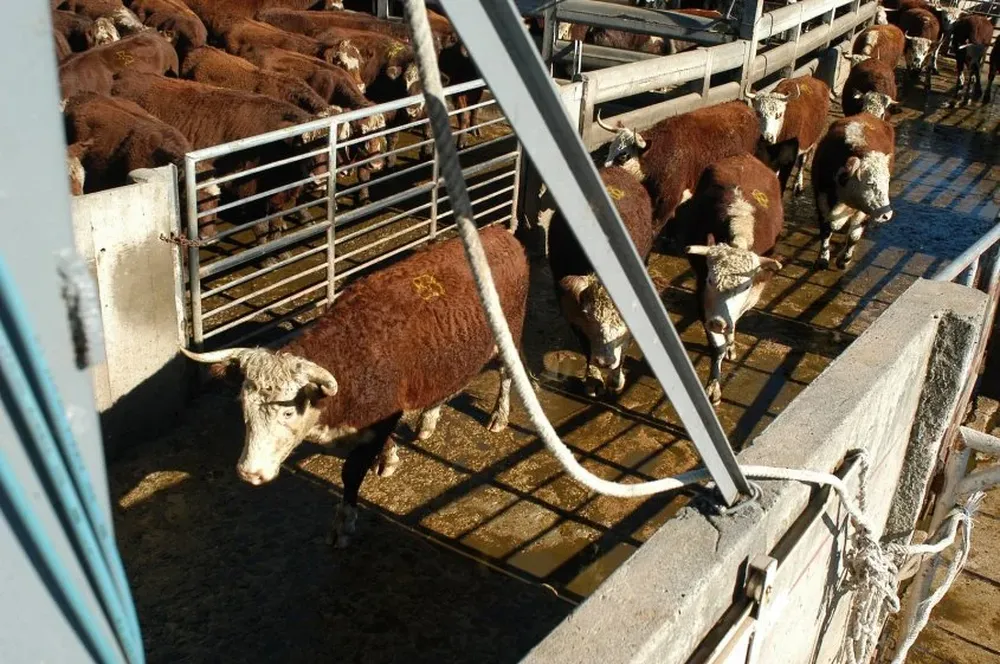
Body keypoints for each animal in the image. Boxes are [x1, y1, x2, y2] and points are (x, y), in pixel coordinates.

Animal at [179, 225, 529, 548]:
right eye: (244, 408)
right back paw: (428, 420)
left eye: (289, 413)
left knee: (506, 376)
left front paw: (344, 523)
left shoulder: (382, 414)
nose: (250, 472)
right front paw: (389, 457)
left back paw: (498, 416)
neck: (351, 349)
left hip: (510, 335)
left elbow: (351, 472)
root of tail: (500, 234)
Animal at [601, 101, 763, 237]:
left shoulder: (669, 198)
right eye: (609, 149)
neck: (662, 151)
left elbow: (656, 226)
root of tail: (745, 107)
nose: (604, 172)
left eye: (623, 156)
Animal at [680, 155, 784, 404]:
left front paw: (730, 344)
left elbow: (734, 323)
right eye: (709, 280)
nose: (718, 322)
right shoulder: (702, 299)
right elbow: (716, 346)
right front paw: (713, 387)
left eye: (744, 286)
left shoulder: (754, 293)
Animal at [811, 112, 895, 271]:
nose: (886, 215)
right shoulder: (822, 199)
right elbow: (825, 230)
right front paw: (823, 258)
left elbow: (854, 236)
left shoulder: (863, 210)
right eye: (869, 183)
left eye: (887, 181)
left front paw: (844, 260)